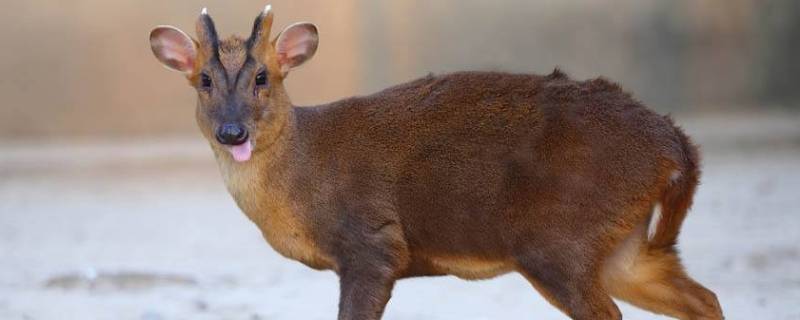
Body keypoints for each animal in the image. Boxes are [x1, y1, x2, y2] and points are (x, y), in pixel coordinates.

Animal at [148, 5, 724, 320]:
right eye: (204, 80)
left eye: (262, 77)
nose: (232, 131)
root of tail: (675, 145)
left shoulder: (373, 241)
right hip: (623, 247)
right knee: (706, 299)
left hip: (561, 238)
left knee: (615, 311)